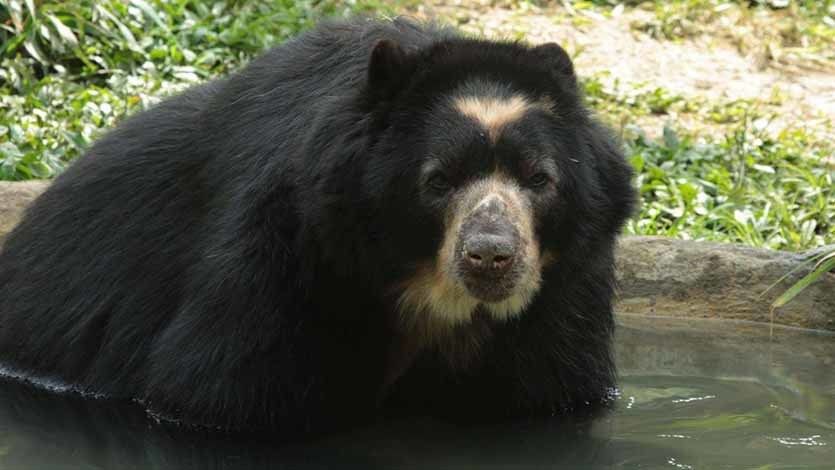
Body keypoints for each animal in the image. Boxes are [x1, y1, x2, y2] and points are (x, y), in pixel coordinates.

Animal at [0, 16, 635, 436]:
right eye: (438, 180)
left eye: (539, 178)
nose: (490, 255)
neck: (424, 292)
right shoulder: (284, 249)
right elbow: (222, 388)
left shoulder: (562, 292)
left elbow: (549, 390)